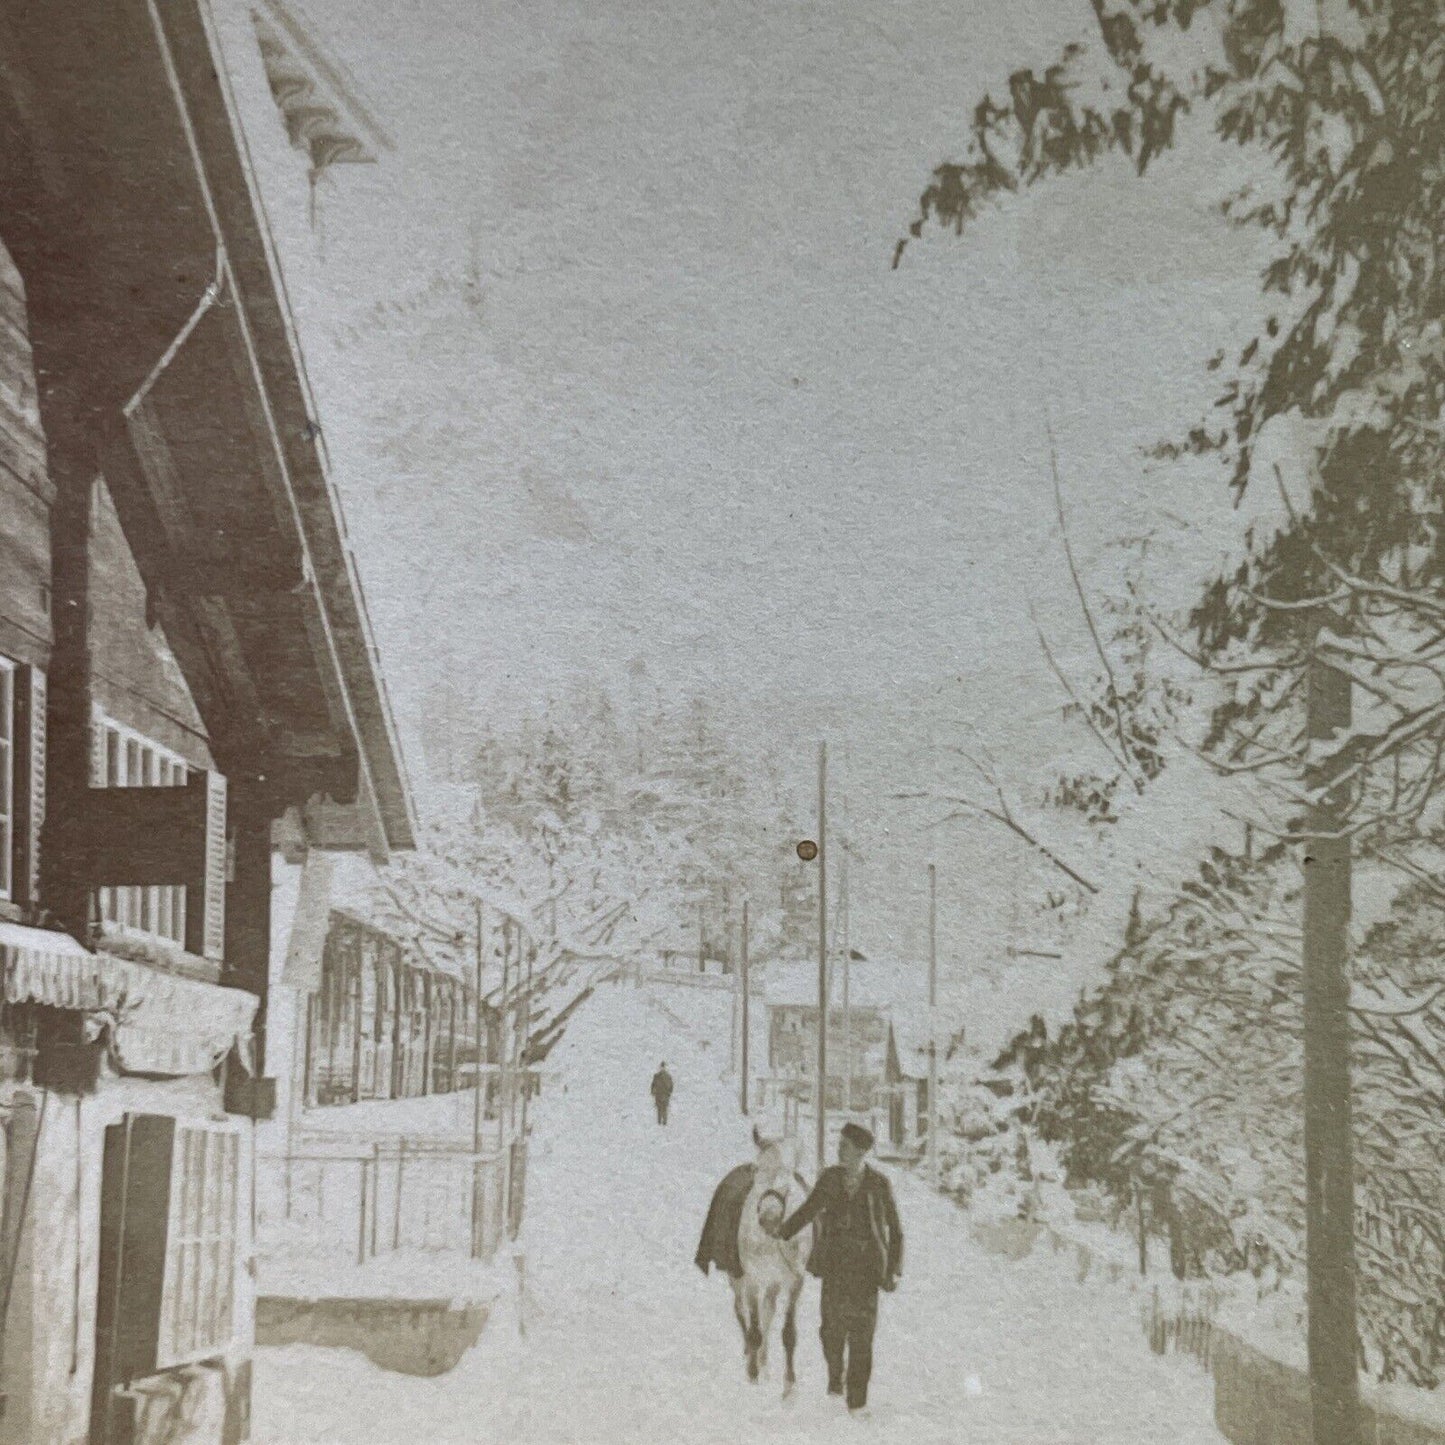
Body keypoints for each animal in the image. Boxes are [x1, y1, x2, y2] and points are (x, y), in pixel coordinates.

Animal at [734, 1121, 814, 1392]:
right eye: (757, 1168)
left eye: (790, 1174)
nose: (769, 1218)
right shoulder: (752, 1277)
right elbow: (754, 1328)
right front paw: (751, 1373)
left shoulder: (795, 1280)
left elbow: (788, 1333)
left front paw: (789, 1385)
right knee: (742, 1310)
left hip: (775, 1281)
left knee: (768, 1312)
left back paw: (764, 1360)